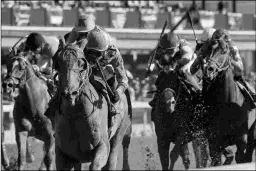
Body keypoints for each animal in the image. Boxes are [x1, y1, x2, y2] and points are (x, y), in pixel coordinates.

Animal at [52, 42, 131, 170]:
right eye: (58, 64)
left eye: (82, 64)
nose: (70, 93)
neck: (75, 116)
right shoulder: (62, 152)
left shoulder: (103, 145)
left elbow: (95, 164)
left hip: (119, 133)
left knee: (112, 158)